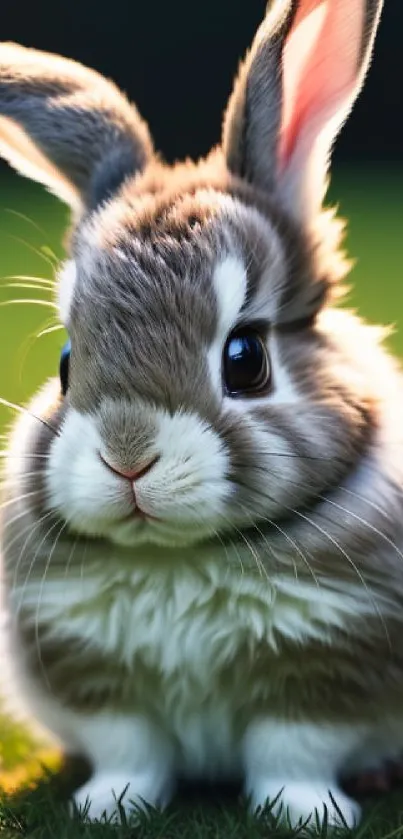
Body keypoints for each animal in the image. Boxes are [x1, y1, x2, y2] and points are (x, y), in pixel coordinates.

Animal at [0, 0, 400, 832]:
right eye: (67, 361)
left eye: (245, 358)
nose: (127, 455)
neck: (177, 555)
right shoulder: (99, 680)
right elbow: (131, 749)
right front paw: (106, 806)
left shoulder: (323, 671)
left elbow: (292, 752)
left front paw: (310, 814)